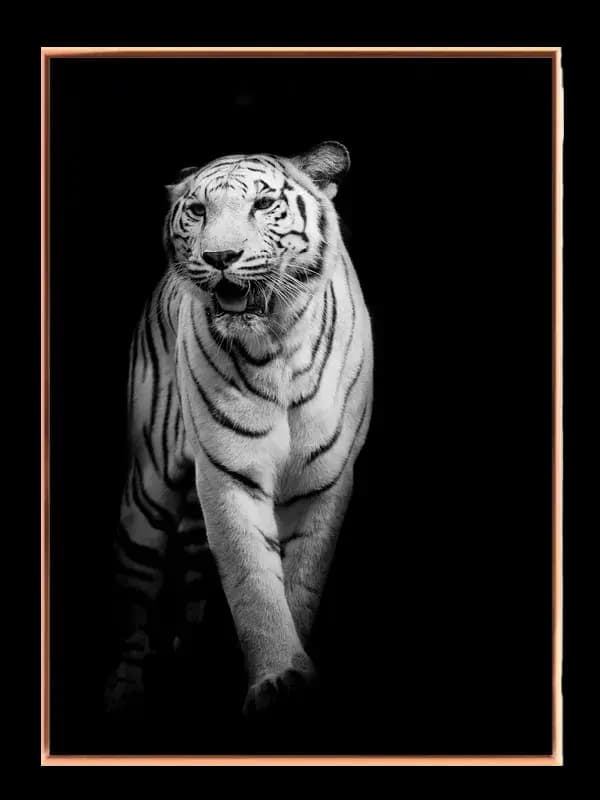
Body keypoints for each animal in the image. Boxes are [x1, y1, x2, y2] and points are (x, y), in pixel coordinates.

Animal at [104, 141, 374, 717]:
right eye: (198, 210)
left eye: (264, 204)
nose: (220, 258)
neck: (278, 346)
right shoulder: (228, 475)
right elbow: (252, 580)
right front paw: (277, 679)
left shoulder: (325, 480)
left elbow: (301, 580)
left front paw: (293, 674)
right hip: (147, 491)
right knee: (134, 594)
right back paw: (124, 690)